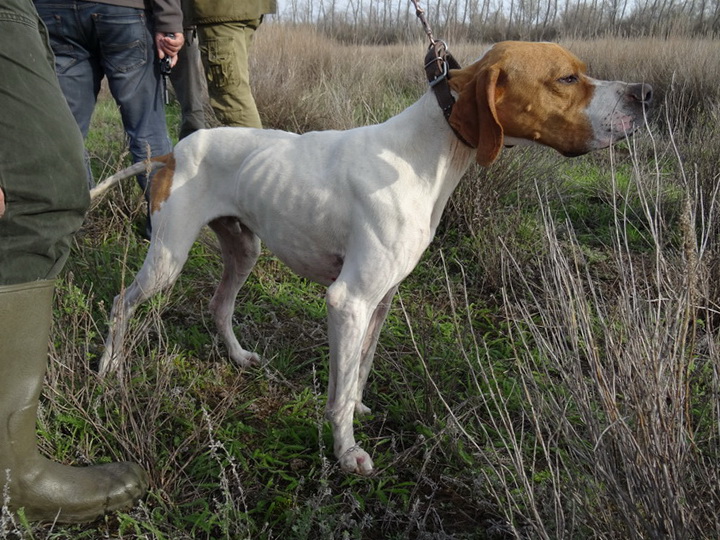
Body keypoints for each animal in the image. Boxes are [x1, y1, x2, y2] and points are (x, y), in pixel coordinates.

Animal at [94, 41, 651, 475]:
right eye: (567, 77)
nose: (646, 95)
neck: (422, 154)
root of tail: (175, 150)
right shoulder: (349, 300)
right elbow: (337, 394)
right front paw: (346, 453)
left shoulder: (381, 300)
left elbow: (359, 369)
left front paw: (359, 406)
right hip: (167, 258)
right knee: (122, 303)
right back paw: (108, 369)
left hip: (244, 249)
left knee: (219, 305)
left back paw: (237, 356)